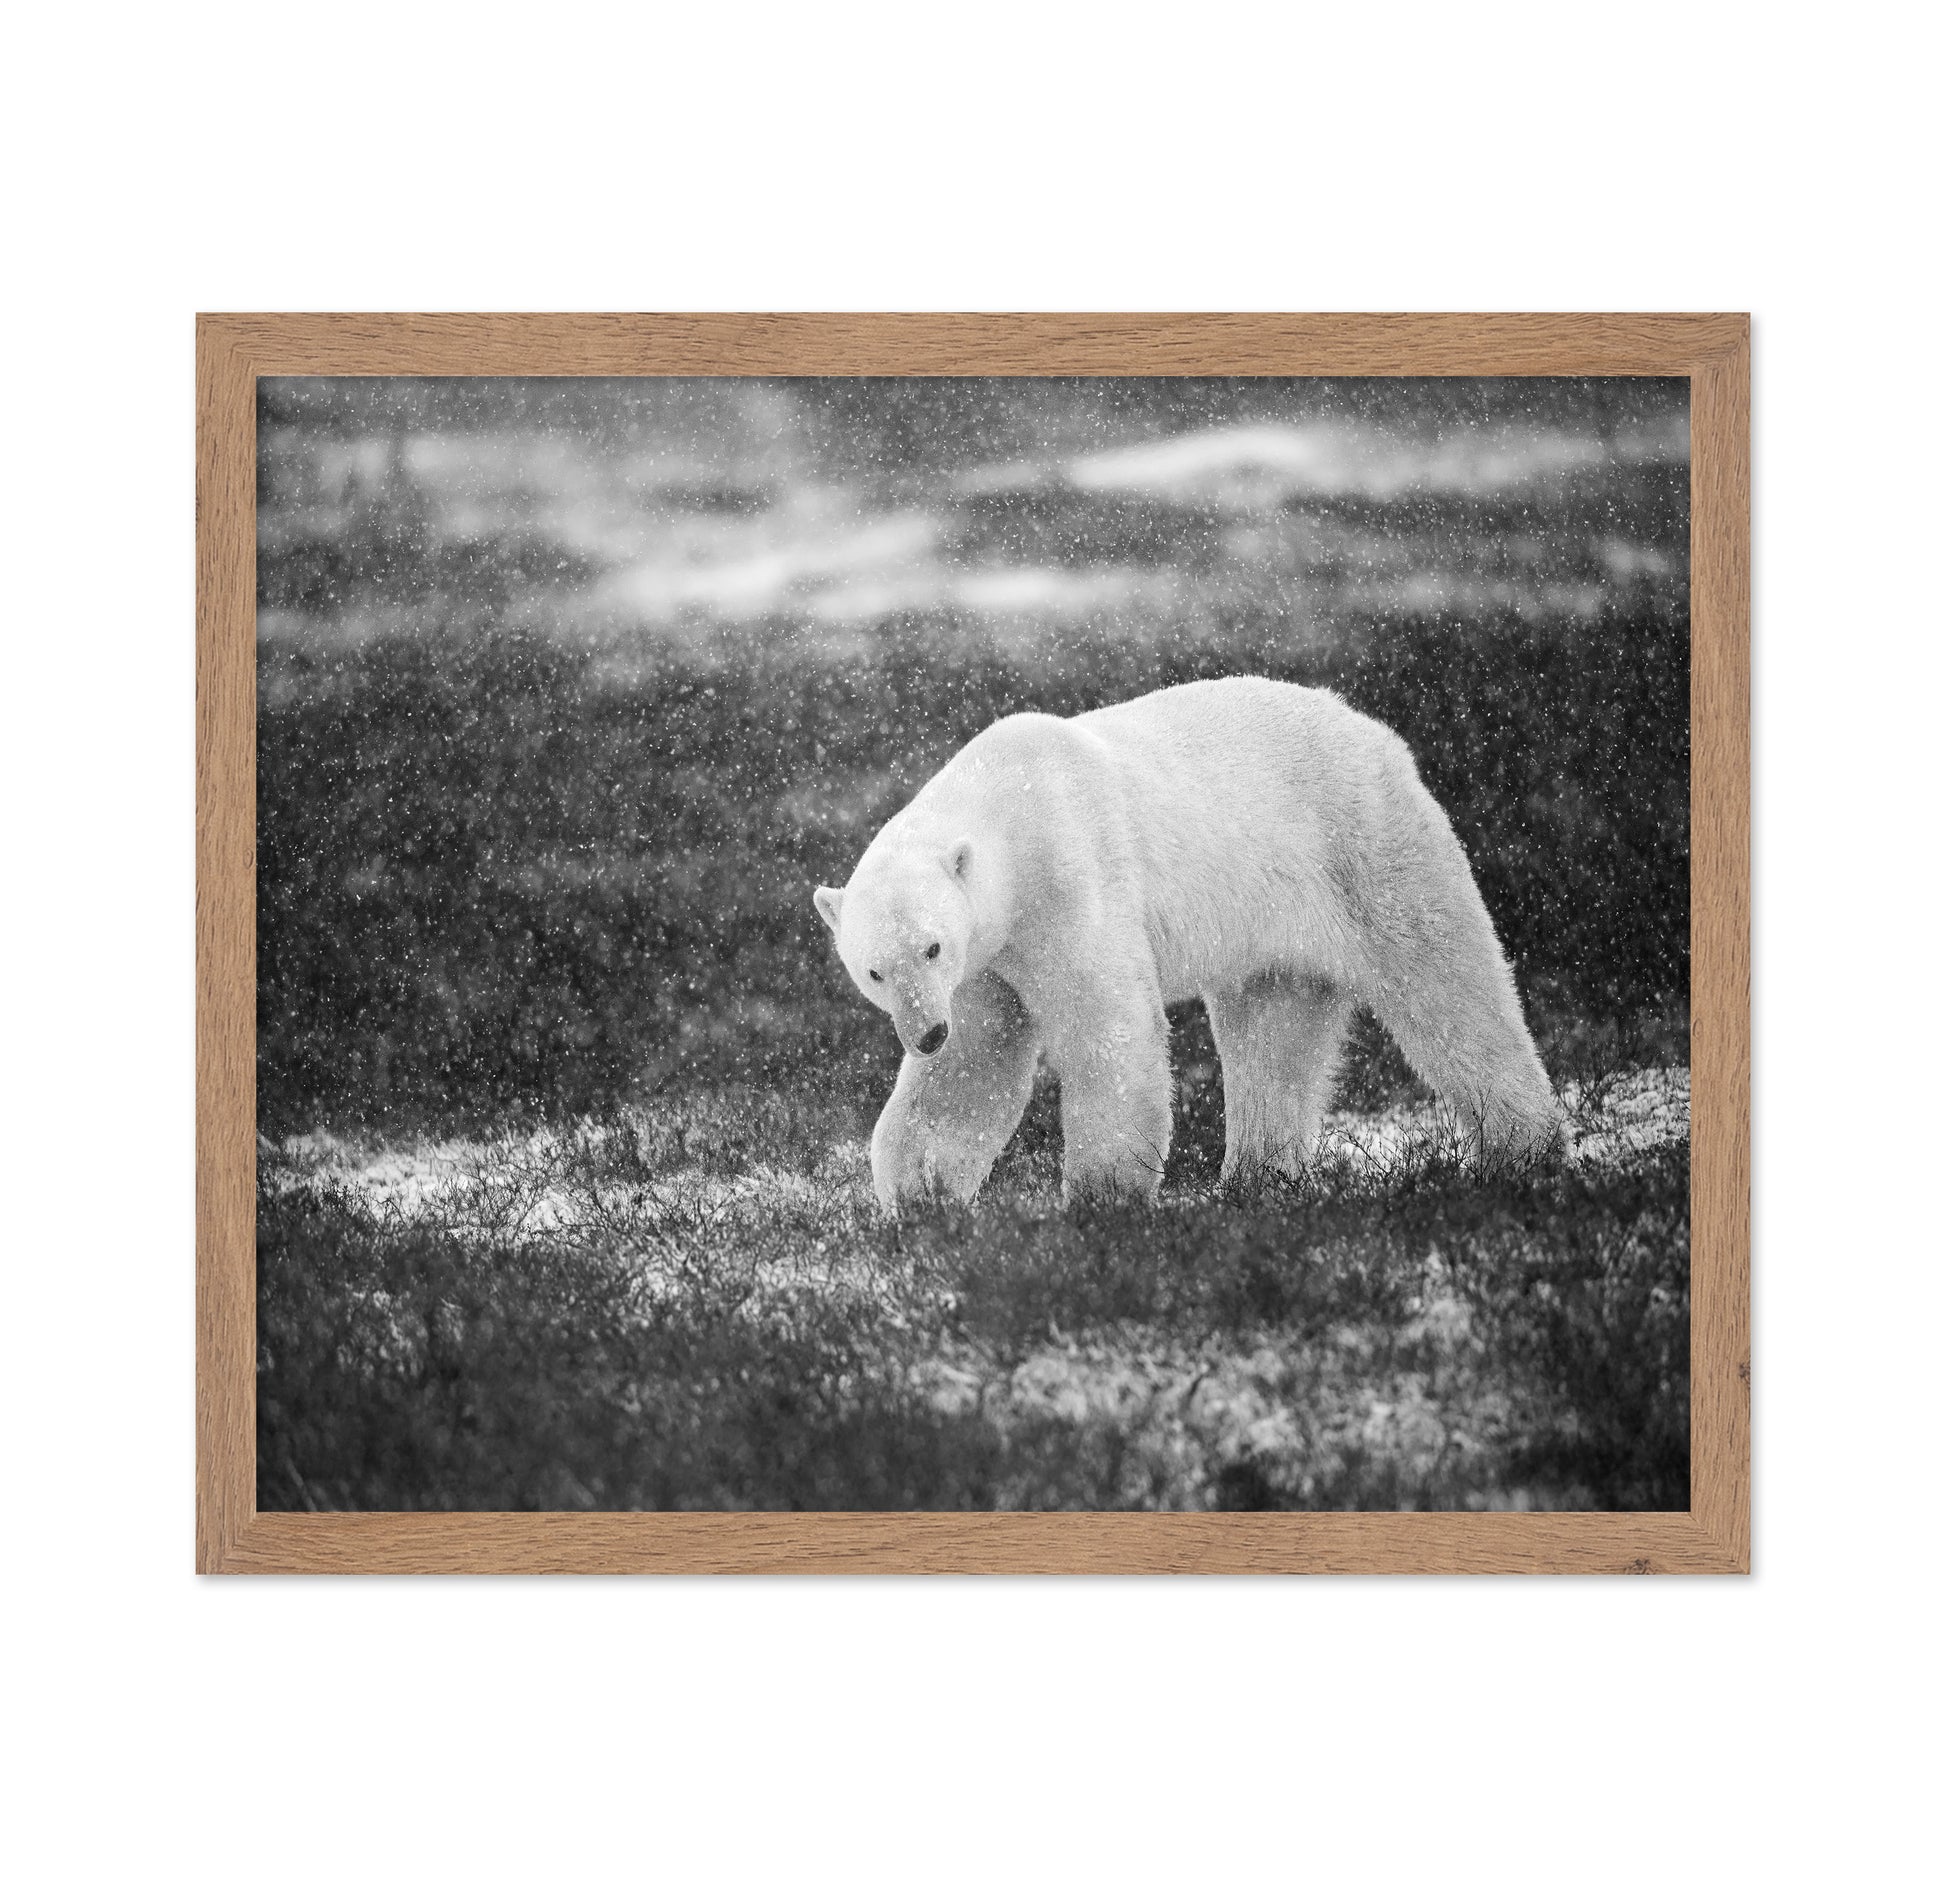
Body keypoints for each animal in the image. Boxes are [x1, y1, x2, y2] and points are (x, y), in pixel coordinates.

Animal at [813, 675, 1562, 1211]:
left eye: (931, 948)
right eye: (874, 971)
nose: (924, 1033)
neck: (1008, 807)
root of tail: (1372, 729)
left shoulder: (1070, 879)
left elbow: (1107, 1025)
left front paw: (1103, 1197)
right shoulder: (987, 964)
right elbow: (974, 1064)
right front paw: (918, 1196)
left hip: (1365, 847)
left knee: (1447, 985)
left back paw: (1522, 1148)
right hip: (1272, 922)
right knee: (1274, 1034)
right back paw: (1256, 1179)